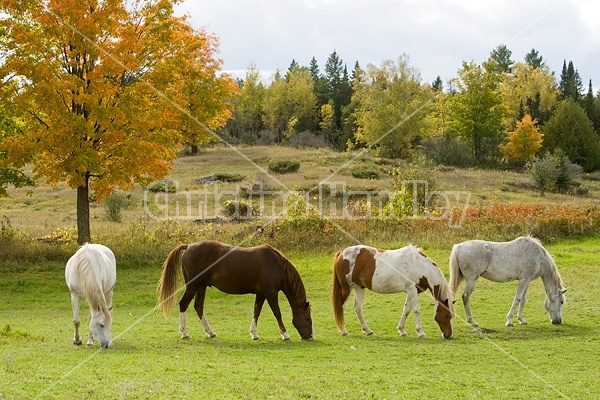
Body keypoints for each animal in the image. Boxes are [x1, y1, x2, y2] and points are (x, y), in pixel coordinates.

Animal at [157, 241, 314, 340]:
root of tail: (189, 246)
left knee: (198, 307)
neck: (275, 264)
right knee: (183, 304)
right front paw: (285, 334)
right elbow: (277, 313)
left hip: (201, 287)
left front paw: (254, 334)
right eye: (307, 318)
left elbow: (256, 312)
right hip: (193, 285)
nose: (311, 336)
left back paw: (210, 332)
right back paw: (184, 333)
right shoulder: (271, 293)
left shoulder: (261, 294)